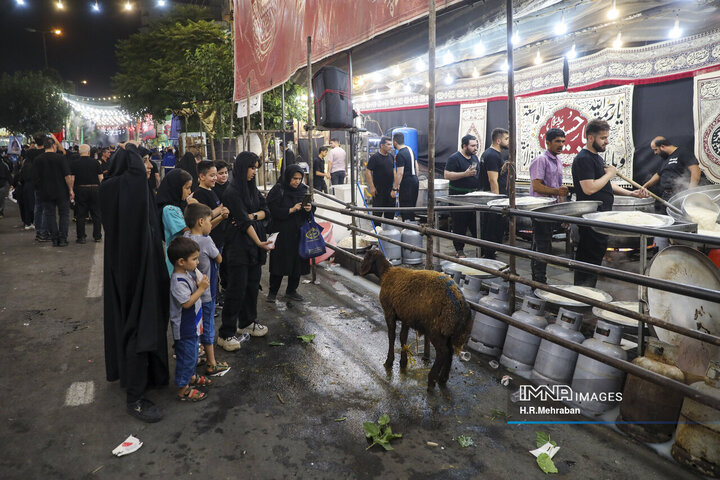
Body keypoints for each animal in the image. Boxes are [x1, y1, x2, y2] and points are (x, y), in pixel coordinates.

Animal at [358, 248, 472, 390]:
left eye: (366, 257)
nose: (360, 270)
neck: (386, 273)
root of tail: (460, 302)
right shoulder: (406, 316)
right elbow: (403, 337)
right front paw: (403, 361)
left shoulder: (389, 312)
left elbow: (391, 336)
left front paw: (389, 361)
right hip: (449, 330)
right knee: (450, 352)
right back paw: (443, 378)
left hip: (435, 329)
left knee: (443, 352)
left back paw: (431, 379)